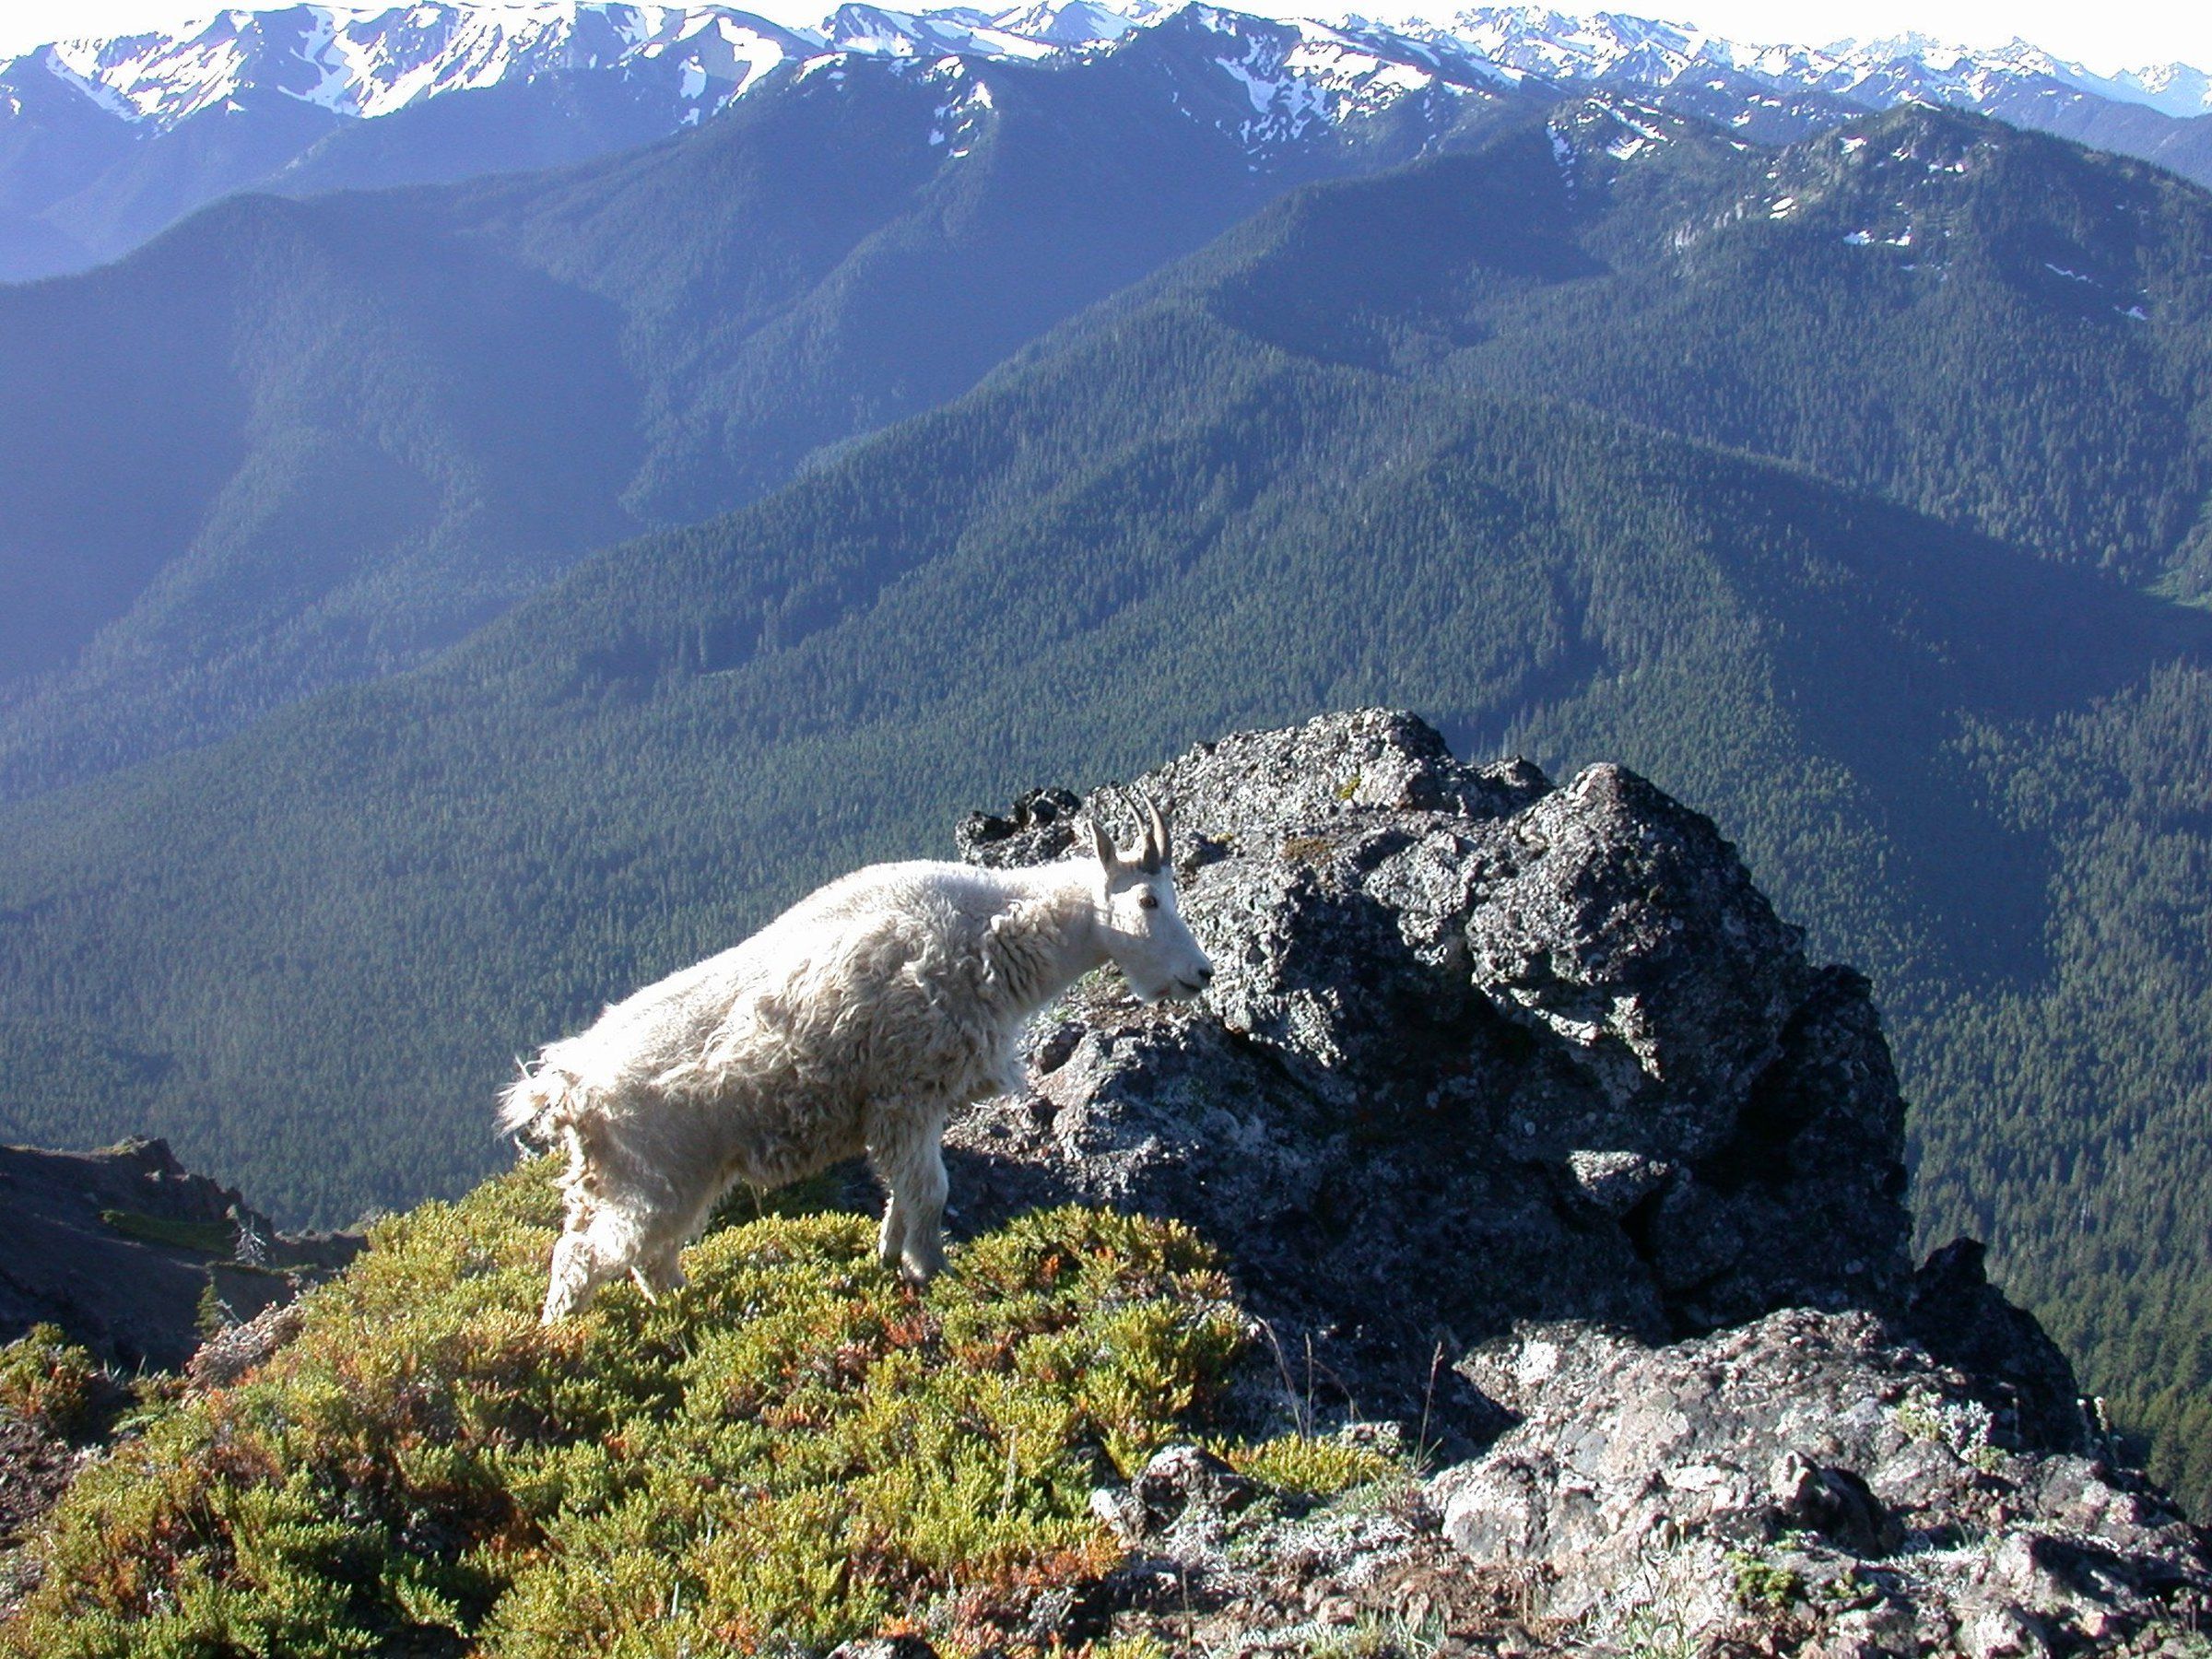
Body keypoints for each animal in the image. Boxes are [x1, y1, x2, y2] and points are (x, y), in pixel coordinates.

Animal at [500, 794, 1213, 1322]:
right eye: (1148, 900)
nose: (1201, 974)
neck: (992, 933)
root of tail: (567, 1086)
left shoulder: (906, 1110)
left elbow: (901, 1192)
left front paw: (889, 1258)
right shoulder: (907, 1092)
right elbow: (930, 1190)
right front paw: (935, 1271)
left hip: (635, 1178)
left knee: (640, 1257)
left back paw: (689, 1312)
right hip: (654, 1177)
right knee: (587, 1257)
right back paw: (563, 1341)